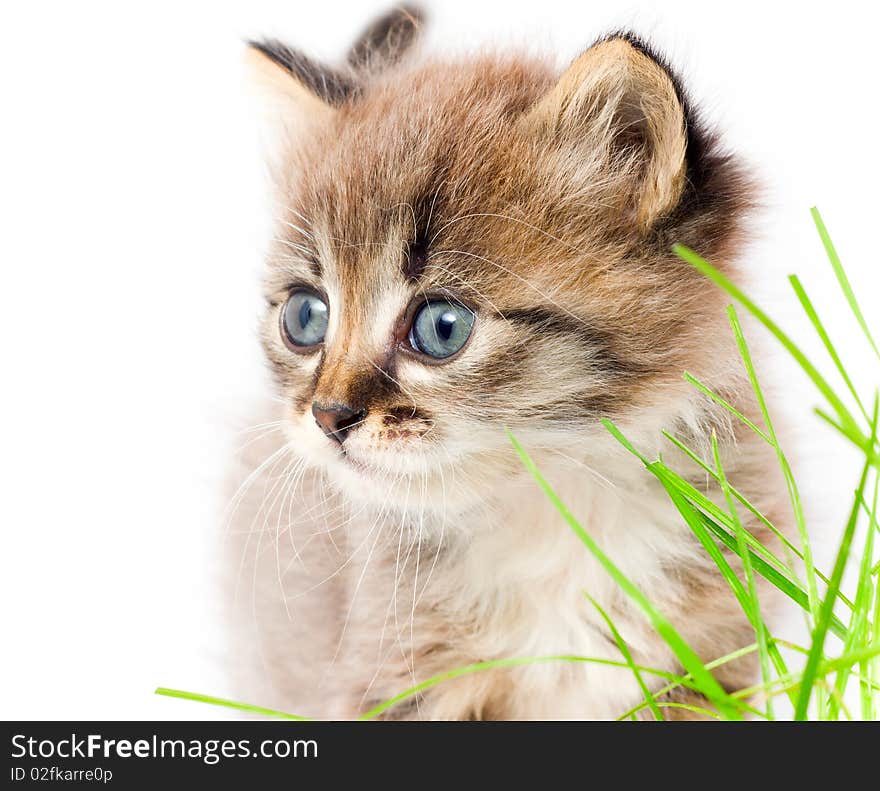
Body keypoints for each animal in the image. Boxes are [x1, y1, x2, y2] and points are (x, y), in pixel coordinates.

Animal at [225, 7, 784, 724]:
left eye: (442, 328)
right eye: (305, 317)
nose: (329, 415)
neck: (559, 505)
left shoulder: (709, 664)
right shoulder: (390, 676)